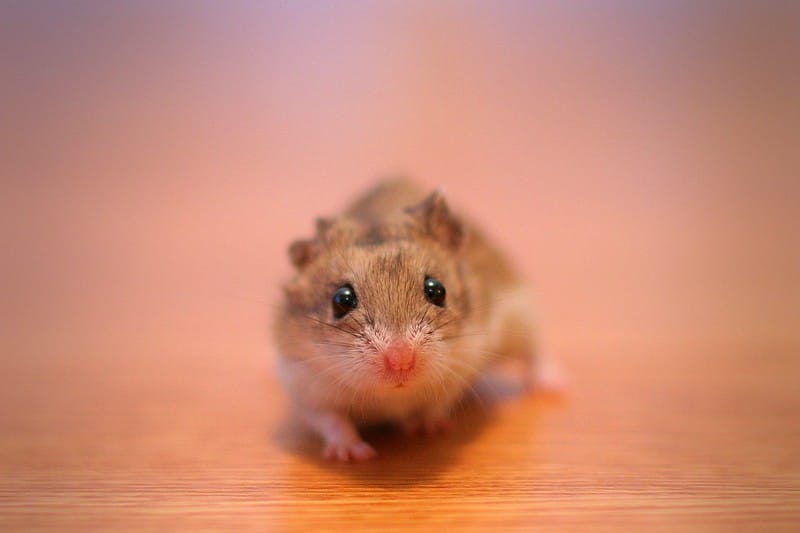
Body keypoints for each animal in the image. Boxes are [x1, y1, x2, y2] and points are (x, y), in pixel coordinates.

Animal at [274, 179, 539, 461]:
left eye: (437, 290)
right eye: (341, 300)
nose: (401, 361)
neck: (392, 395)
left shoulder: (460, 368)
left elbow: (436, 405)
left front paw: (424, 430)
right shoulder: (303, 385)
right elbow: (332, 420)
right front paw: (354, 455)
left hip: (522, 317)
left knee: (535, 353)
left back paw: (549, 386)